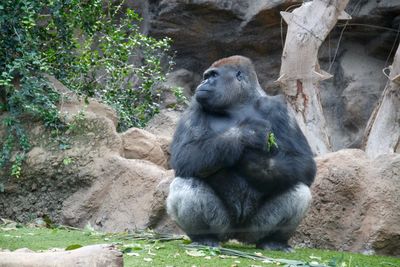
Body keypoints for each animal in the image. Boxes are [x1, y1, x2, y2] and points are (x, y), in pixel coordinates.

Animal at [166, 55, 316, 252]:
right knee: (186, 183)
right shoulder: (194, 107)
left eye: (213, 76)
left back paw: (273, 241)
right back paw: (204, 237)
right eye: (207, 76)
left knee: (298, 189)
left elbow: (303, 162)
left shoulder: (279, 109)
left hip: (254, 229)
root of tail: (237, 236)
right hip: (223, 227)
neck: (239, 104)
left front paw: (253, 162)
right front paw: (248, 136)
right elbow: (185, 155)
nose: (202, 83)